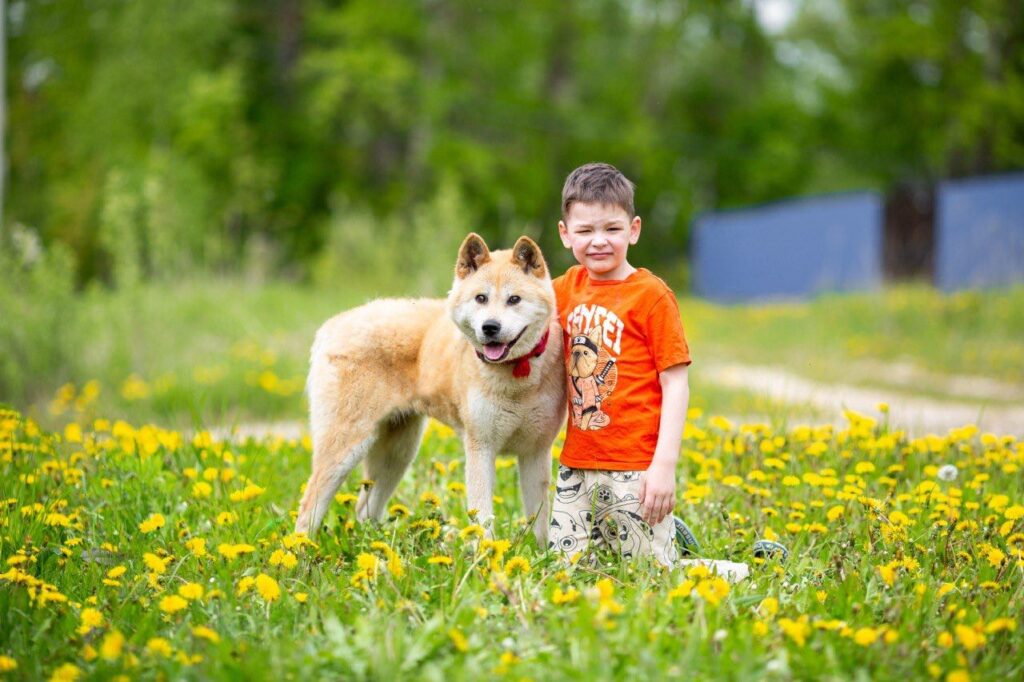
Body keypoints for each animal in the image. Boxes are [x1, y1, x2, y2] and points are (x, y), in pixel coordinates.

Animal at [294, 232, 569, 540]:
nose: (490, 327)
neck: (516, 377)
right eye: (481, 298)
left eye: (514, 299)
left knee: (364, 509)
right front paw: (487, 553)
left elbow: (541, 524)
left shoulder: (535, 453)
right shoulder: (480, 448)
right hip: (346, 449)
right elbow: (483, 521)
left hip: (398, 453)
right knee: (308, 509)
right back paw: (302, 548)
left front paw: (541, 553)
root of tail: (333, 325)